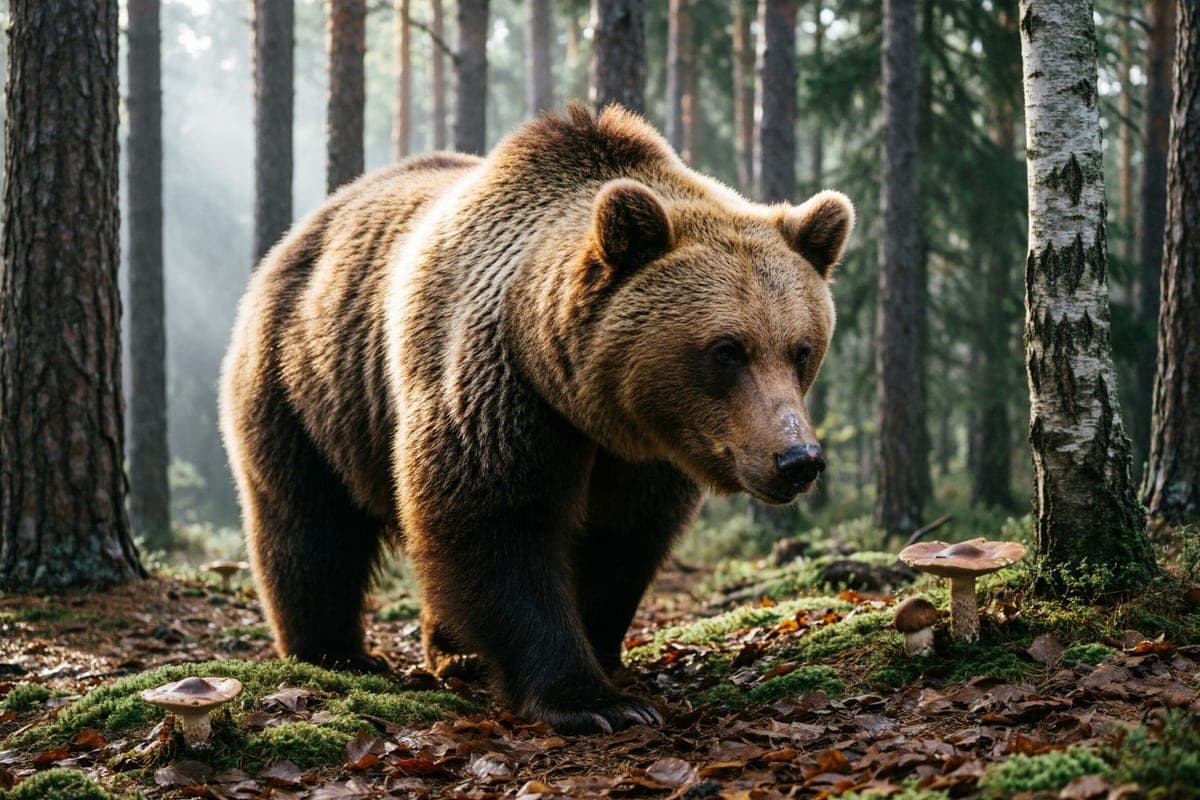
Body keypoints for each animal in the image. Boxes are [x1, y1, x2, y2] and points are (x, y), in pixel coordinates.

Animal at [220, 103, 853, 734]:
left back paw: (453, 653)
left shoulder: (646, 454)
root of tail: (303, 229)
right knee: (308, 523)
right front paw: (594, 701)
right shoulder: (498, 390)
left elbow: (623, 541)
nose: (797, 459)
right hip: (307, 383)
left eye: (800, 349)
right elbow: (497, 525)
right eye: (726, 350)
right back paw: (336, 652)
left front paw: (602, 653)